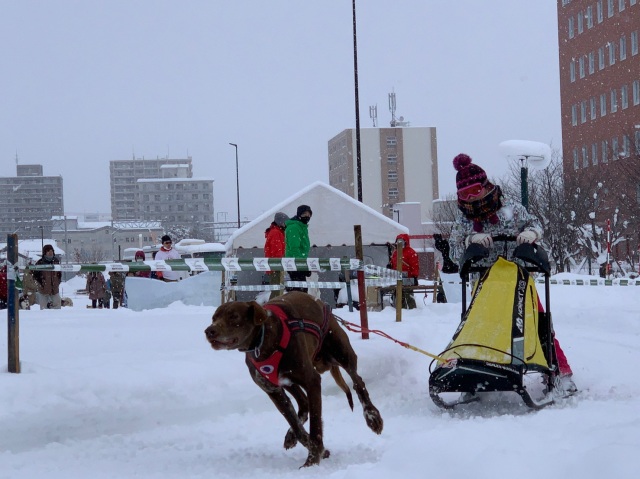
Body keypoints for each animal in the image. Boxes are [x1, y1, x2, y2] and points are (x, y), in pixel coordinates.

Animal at [205, 290, 382, 466]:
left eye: (233, 316)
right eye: (214, 318)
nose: (209, 331)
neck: (263, 341)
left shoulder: (312, 382)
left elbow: (315, 425)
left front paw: (312, 461)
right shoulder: (273, 390)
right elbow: (296, 425)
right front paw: (316, 449)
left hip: (342, 354)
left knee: (358, 382)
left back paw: (373, 417)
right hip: (288, 382)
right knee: (303, 403)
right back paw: (291, 435)